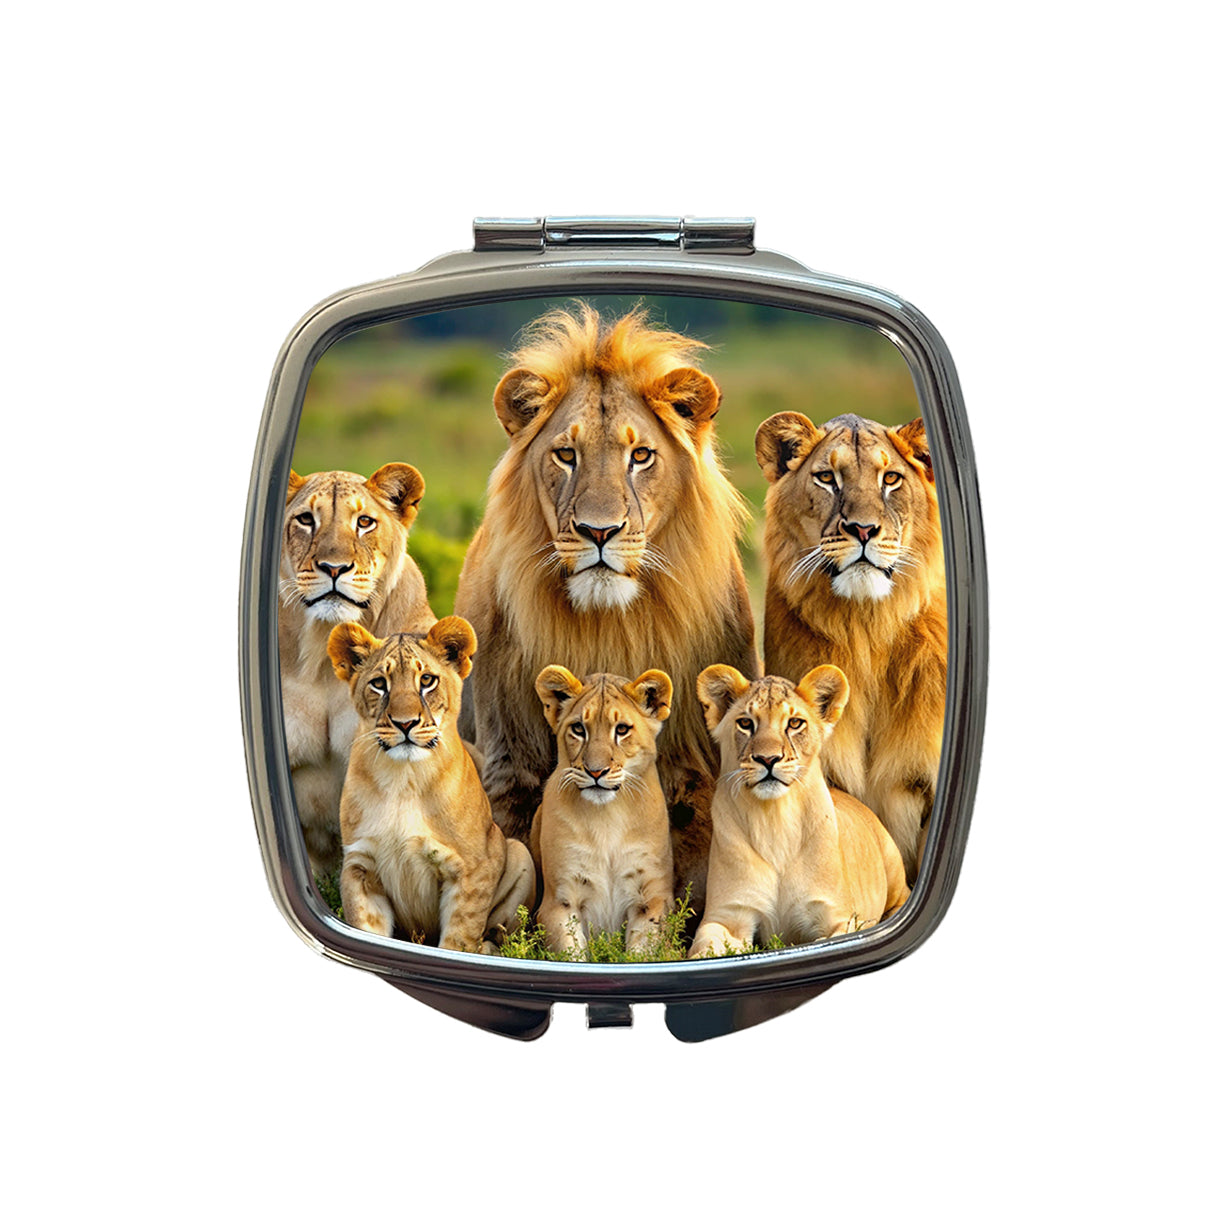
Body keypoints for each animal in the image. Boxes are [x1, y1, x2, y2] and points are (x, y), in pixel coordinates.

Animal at [326, 617, 535, 952]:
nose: (405, 723)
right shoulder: (360, 867)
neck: (403, 779)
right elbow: (366, 927)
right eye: (379, 684)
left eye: (427, 680)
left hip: (518, 852)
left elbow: (458, 939)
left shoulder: (471, 871)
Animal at [454, 306, 758, 905]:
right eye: (565, 455)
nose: (599, 531)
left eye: (640, 456)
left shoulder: (695, 768)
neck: (607, 624)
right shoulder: (510, 761)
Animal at [530, 666, 675, 956]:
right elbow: (570, 954)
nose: (596, 772)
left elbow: (642, 955)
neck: (607, 816)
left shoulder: (651, 898)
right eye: (578, 729)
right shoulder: (559, 901)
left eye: (622, 730)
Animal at [689, 665, 909, 957]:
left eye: (794, 724)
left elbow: (830, 938)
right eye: (745, 723)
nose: (768, 759)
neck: (774, 819)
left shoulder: (837, 914)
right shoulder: (728, 915)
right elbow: (706, 947)